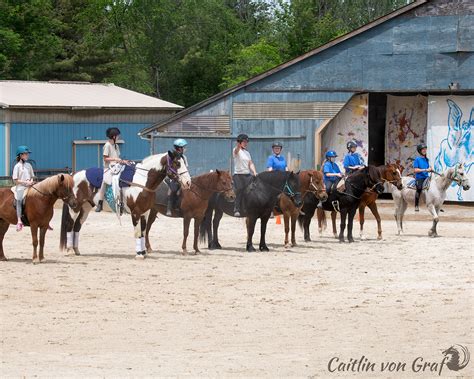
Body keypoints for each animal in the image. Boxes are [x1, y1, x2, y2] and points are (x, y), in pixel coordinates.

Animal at [60, 150, 191, 260]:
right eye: (177, 163)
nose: (188, 182)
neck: (142, 181)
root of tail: (73, 175)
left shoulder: (145, 213)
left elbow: (143, 232)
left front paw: (143, 252)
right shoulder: (136, 213)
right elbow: (137, 233)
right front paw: (139, 254)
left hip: (85, 208)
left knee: (77, 226)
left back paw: (76, 250)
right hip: (74, 207)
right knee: (70, 226)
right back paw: (69, 250)